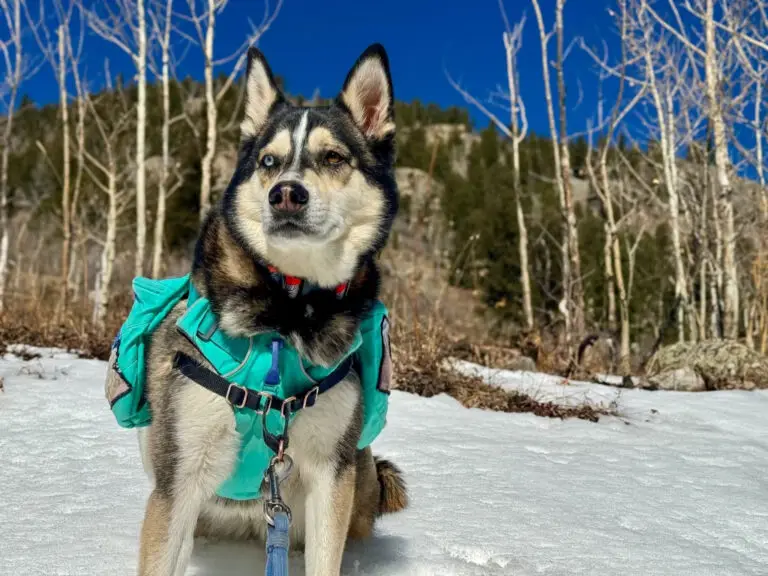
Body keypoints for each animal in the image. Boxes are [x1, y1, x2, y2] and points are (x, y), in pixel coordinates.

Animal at [134, 45, 408, 576]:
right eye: (269, 161)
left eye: (333, 157)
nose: (285, 193)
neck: (287, 309)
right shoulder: (178, 477)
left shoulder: (330, 473)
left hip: (356, 471)